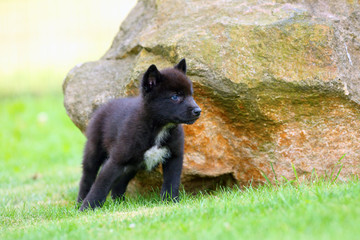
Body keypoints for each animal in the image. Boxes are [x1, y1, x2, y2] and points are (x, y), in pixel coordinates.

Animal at [77, 59, 201, 211]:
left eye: (191, 95)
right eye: (175, 96)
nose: (198, 111)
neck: (158, 127)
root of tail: (104, 106)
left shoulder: (174, 156)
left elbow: (172, 182)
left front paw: (170, 202)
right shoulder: (117, 159)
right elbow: (101, 184)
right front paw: (87, 208)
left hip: (132, 165)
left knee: (119, 184)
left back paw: (120, 204)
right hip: (95, 150)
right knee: (88, 177)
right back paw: (80, 202)